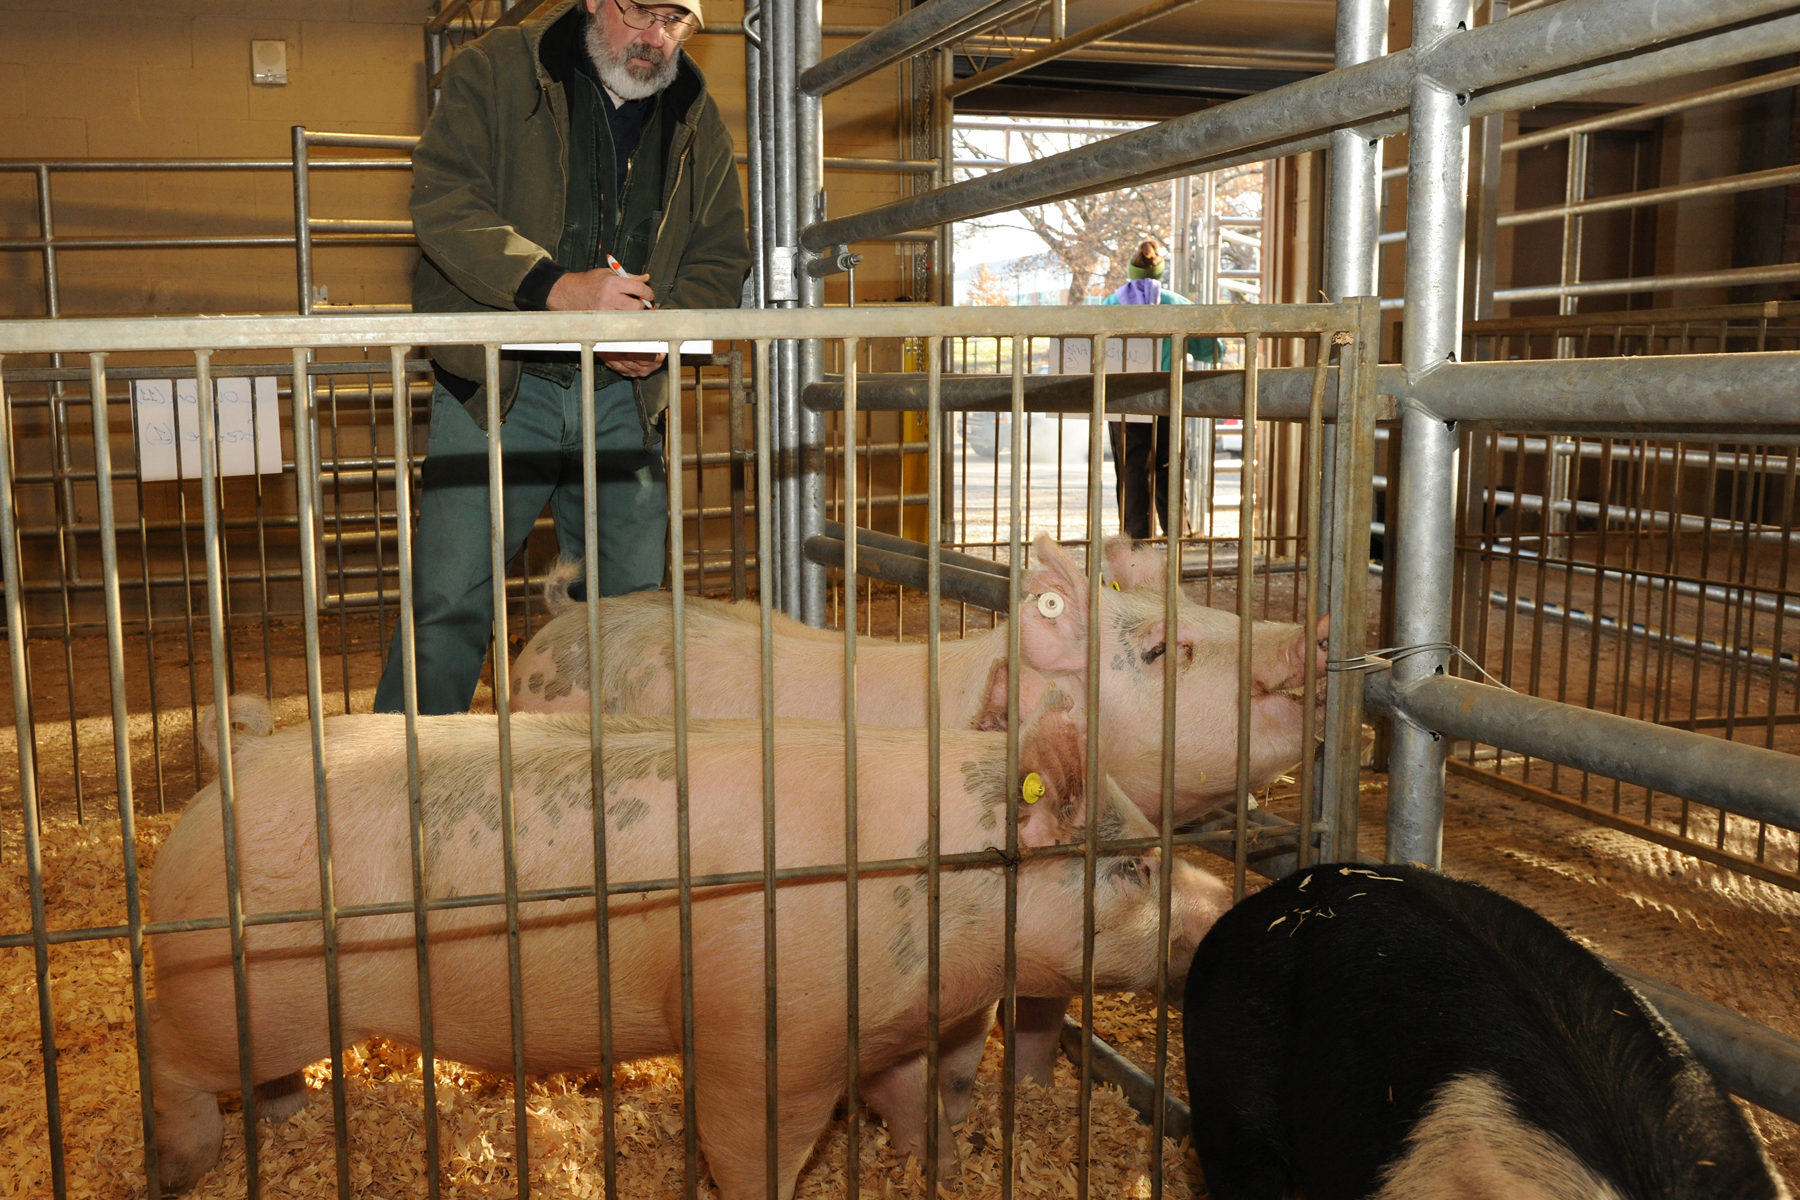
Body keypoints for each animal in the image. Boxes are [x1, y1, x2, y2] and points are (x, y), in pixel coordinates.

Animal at [147, 705, 1231, 1194]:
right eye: (1135, 866)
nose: (1222, 903)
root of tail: (227, 770)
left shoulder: (891, 1025)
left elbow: (916, 1104)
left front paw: (942, 1169)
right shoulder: (763, 1034)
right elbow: (754, 1148)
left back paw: (286, 1129)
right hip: (228, 988)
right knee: (167, 1056)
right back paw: (181, 1165)